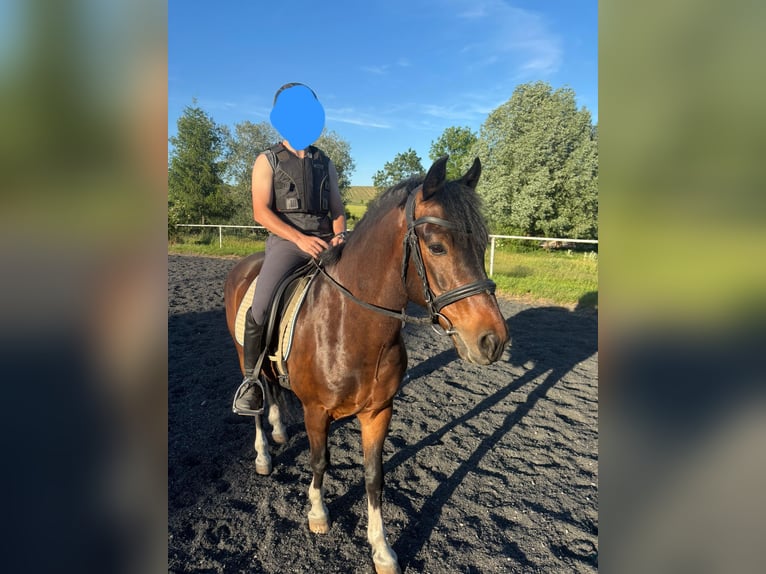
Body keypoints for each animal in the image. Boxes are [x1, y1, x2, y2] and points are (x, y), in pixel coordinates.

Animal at [224, 155, 508, 574]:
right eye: (437, 247)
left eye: (481, 243)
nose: (493, 340)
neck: (350, 326)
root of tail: (246, 265)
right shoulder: (316, 410)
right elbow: (320, 461)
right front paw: (318, 514)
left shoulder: (378, 411)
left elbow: (375, 476)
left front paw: (382, 549)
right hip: (244, 353)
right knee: (256, 398)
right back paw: (263, 452)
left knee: (273, 391)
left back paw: (278, 431)